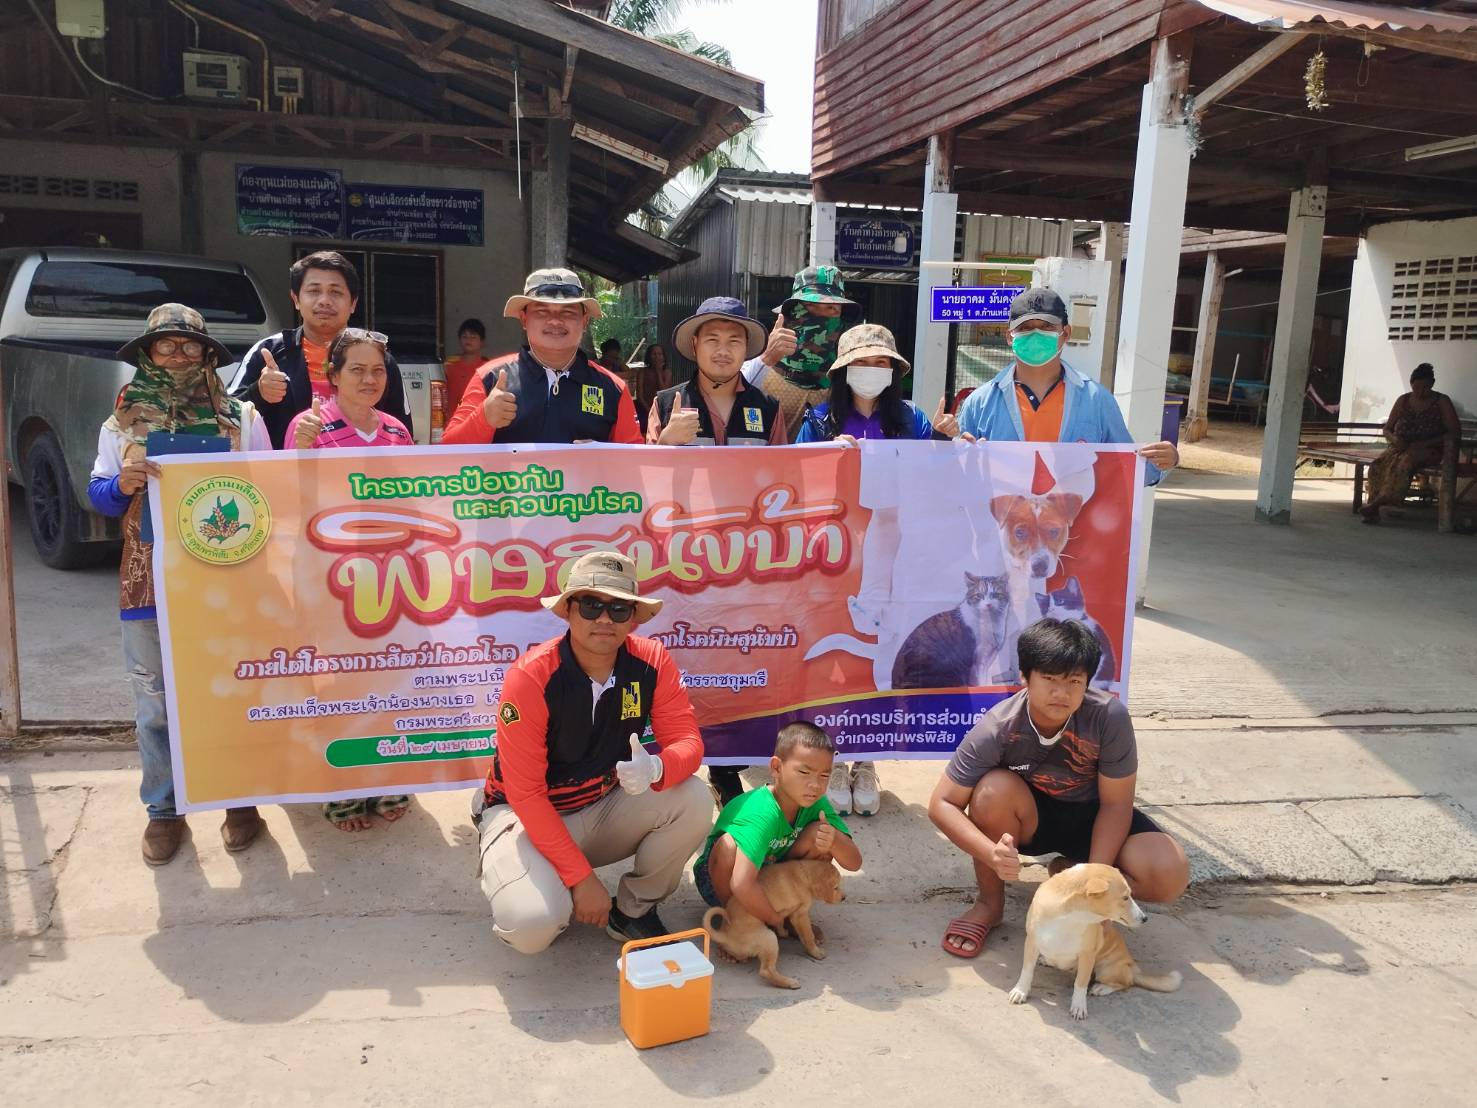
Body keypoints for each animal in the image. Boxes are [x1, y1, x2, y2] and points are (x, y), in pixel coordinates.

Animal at [702, 859, 845, 990]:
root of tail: (725, 936)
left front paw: (783, 932)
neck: (804, 875)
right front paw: (816, 952)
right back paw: (789, 982)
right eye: (835, 887)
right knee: (766, 971)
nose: (844, 898)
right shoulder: (800, 915)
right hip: (768, 938)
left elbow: (779, 921)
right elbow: (808, 936)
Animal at [1007, 862, 1181, 1020]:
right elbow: (1027, 971)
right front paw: (1020, 991)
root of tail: (1134, 969)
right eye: (1125, 897)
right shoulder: (1032, 941)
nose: (1145, 918)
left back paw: (1101, 988)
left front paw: (1078, 1006)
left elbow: (1081, 983)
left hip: (1107, 969)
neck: (1069, 917)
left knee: (1126, 983)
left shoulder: (1088, 955)